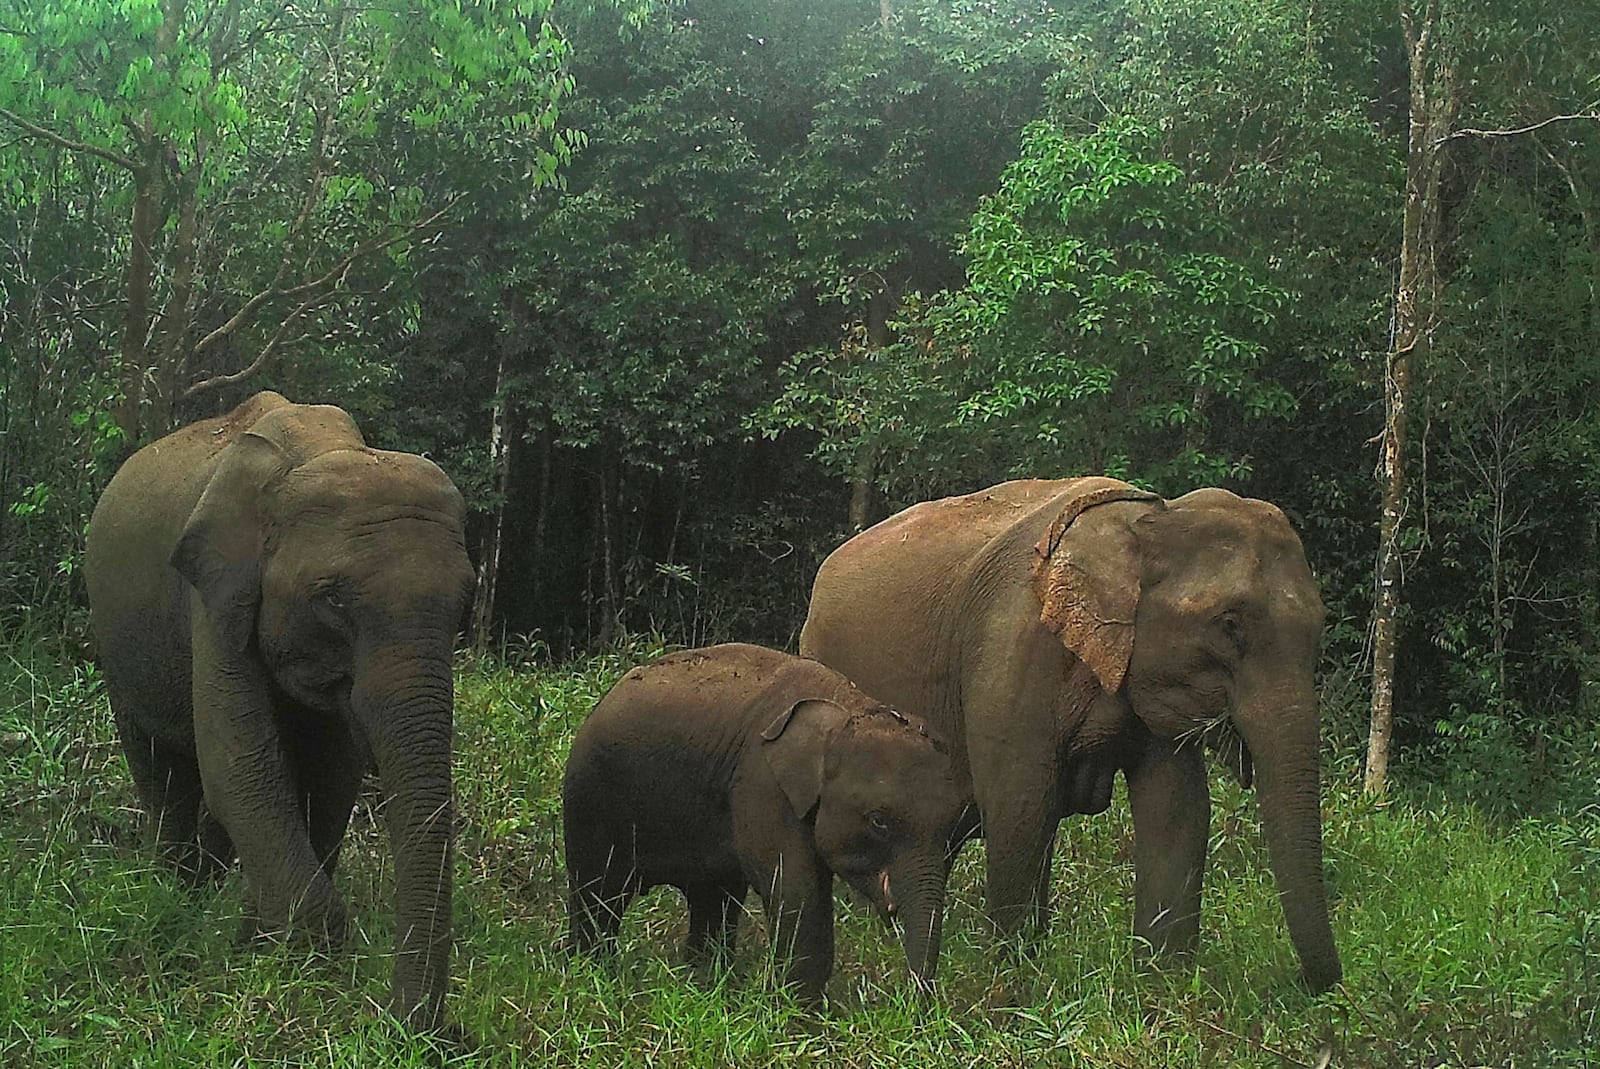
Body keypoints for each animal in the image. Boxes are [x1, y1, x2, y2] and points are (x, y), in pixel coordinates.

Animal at [83, 390, 473, 1024]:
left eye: (466, 602)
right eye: (332, 599)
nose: (419, 1030)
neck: (319, 451)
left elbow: (330, 778)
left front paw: (256, 938)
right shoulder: (214, 595)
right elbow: (241, 767)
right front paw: (300, 954)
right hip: (117, 643)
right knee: (162, 773)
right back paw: (175, 895)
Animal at [563, 643, 960, 1004]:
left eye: (951, 826)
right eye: (879, 821)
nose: (908, 1005)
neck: (845, 708)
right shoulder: (762, 785)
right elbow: (796, 893)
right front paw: (800, 1016)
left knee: (713, 899)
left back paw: (703, 984)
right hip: (589, 796)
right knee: (598, 894)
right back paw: (594, 975)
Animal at [800, 476, 1337, 992]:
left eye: (1320, 629)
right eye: (1229, 625)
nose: (1311, 987)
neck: (1149, 517)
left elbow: (1176, 808)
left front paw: (1164, 986)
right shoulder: (1012, 650)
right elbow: (1020, 807)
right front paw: (1014, 985)